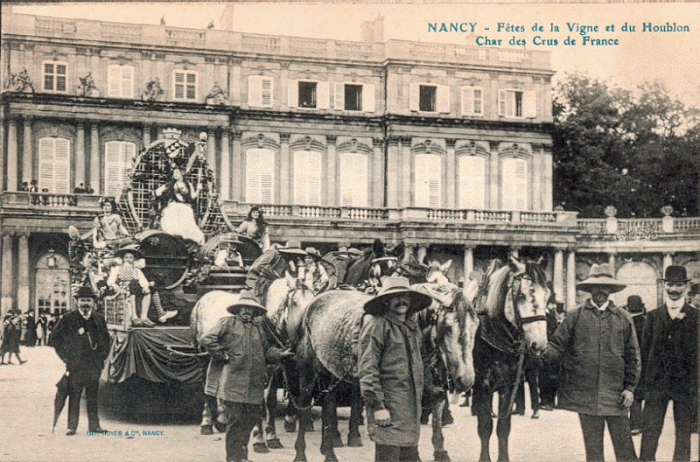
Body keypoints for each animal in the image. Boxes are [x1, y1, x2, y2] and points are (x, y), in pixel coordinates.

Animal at [288, 282, 478, 462]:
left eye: (476, 326)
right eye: (447, 327)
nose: (466, 380)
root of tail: (315, 300)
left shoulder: (435, 390)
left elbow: (436, 422)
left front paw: (440, 452)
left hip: (329, 371)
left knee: (328, 405)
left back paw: (329, 453)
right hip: (306, 368)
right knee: (304, 404)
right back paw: (300, 452)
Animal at [470, 256, 552, 462]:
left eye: (547, 296)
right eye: (521, 296)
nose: (539, 345)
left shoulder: (508, 385)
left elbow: (503, 429)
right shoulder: (482, 385)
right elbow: (485, 427)